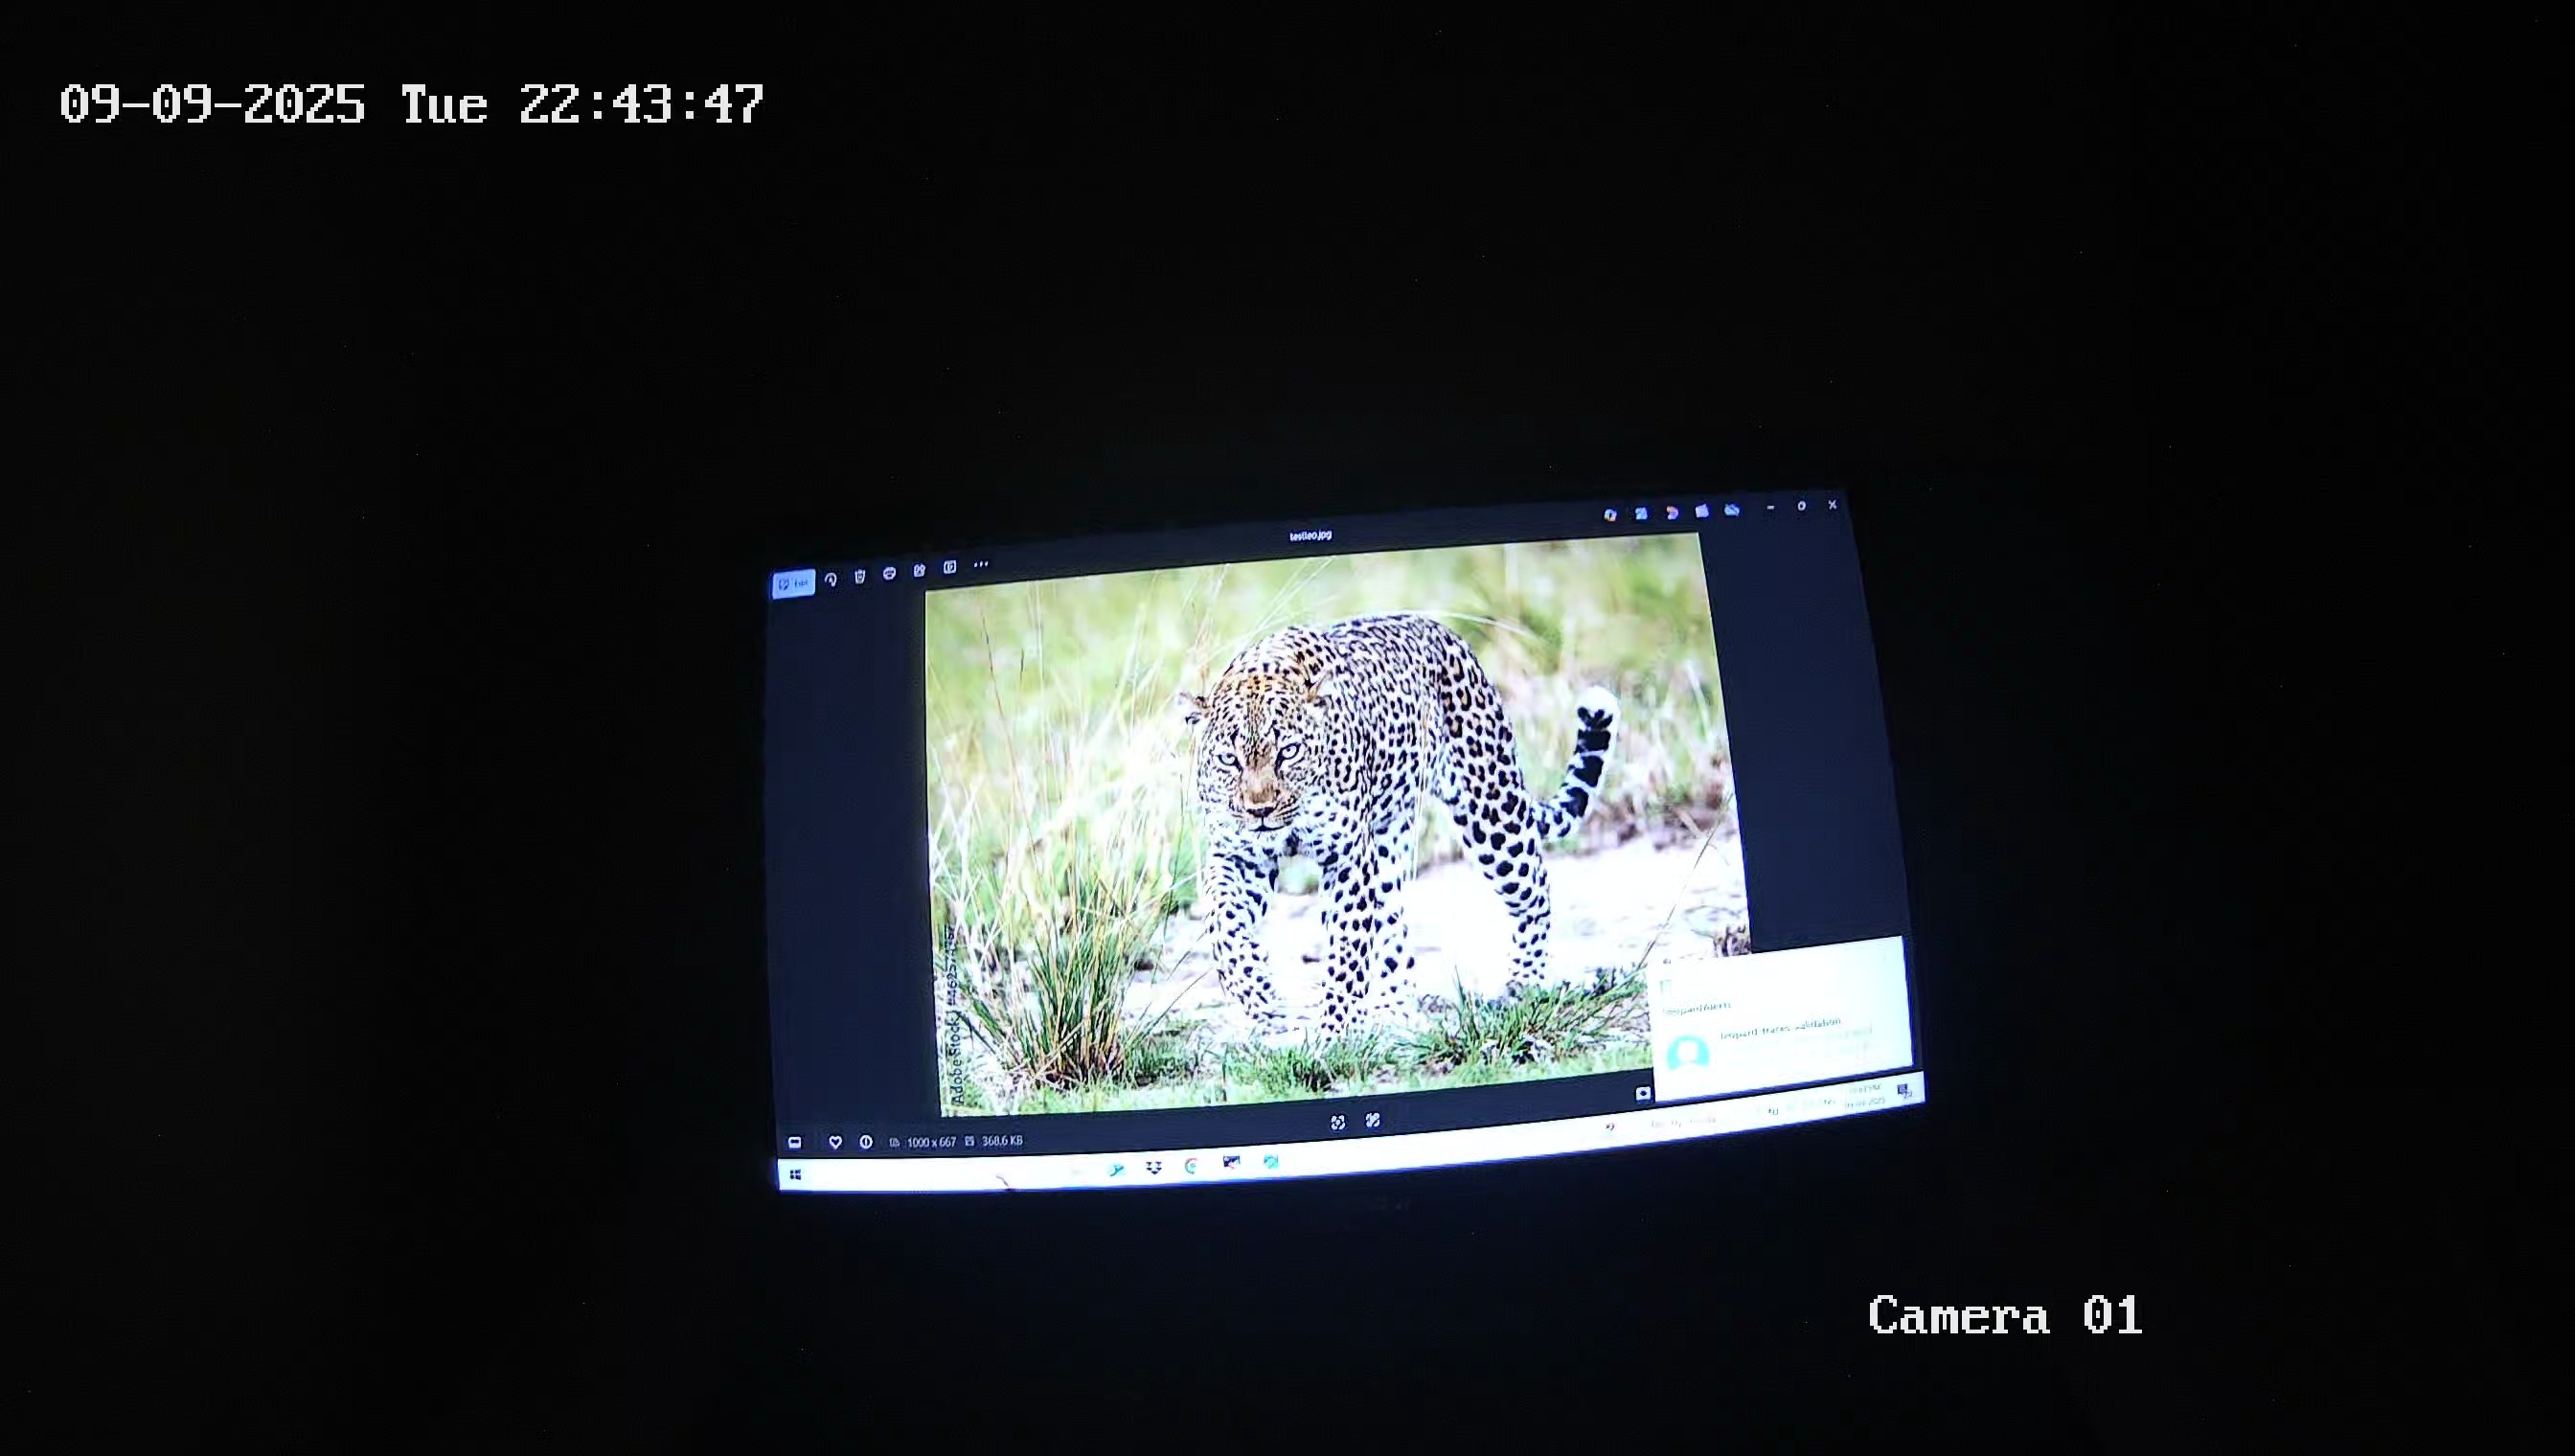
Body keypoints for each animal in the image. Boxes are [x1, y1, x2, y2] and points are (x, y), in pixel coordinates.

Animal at [1176, 612, 1618, 1039]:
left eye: (1289, 751)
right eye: (1229, 759)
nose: (1260, 810)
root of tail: (1442, 631)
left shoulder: (1348, 859)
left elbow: (1348, 949)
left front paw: (1336, 1033)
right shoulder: (1240, 857)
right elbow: (1223, 925)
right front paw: (1262, 1000)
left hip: (1492, 811)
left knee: (1535, 890)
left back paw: (1523, 983)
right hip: (1391, 842)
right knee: (1393, 928)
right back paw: (1396, 1011)